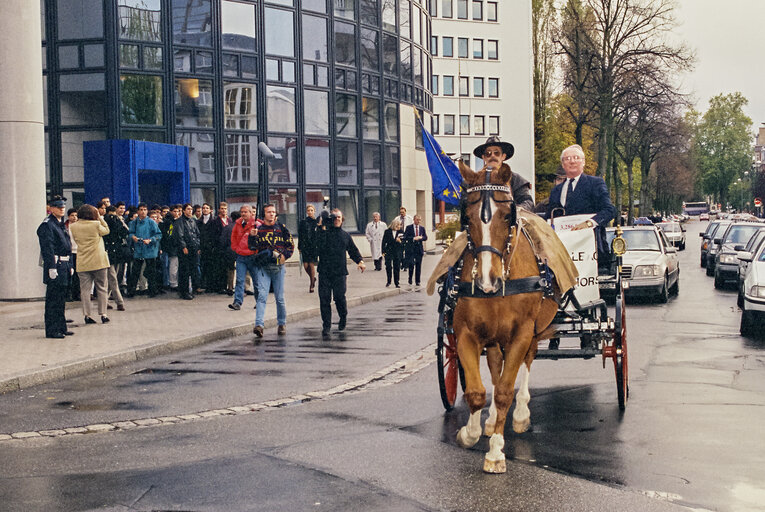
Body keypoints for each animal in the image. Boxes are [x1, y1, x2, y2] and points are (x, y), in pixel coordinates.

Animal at [454, 163, 556, 472]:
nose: (488, 280)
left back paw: (521, 414)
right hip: (494, 339)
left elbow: (503, 393)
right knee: (496, 366)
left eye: (508, 214)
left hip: (531, 332)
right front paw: (470, 432)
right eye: (466, 216)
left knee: (526, 362)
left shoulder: (522, 333)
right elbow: (476, 391)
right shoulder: (466, 333)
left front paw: (496, 452)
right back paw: (489, 422)